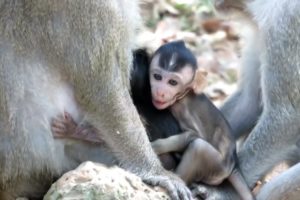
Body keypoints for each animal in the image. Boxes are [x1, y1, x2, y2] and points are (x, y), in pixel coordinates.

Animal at [51, 41, 253, 200]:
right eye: (157, 76)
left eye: (173, 82)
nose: (161, 92)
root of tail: (234, 163)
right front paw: (77, 131)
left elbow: (191, 136)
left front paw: (153, 151)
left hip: (217, 168)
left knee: (199, 148)